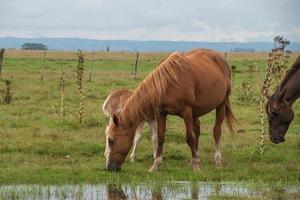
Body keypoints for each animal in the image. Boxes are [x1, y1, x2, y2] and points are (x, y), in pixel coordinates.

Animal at [106, 48, 236, 172]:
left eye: (111, 140)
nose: (109, 167)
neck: (167, 83)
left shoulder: (187, 112)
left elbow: (190, 138)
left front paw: (196, 166)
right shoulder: (161, 113)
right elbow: (160, 137)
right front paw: (156, 165)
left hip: (221, 104)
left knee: (216, 131)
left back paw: (217, 160)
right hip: (195, 111)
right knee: (197, 129)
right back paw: (196, 157)